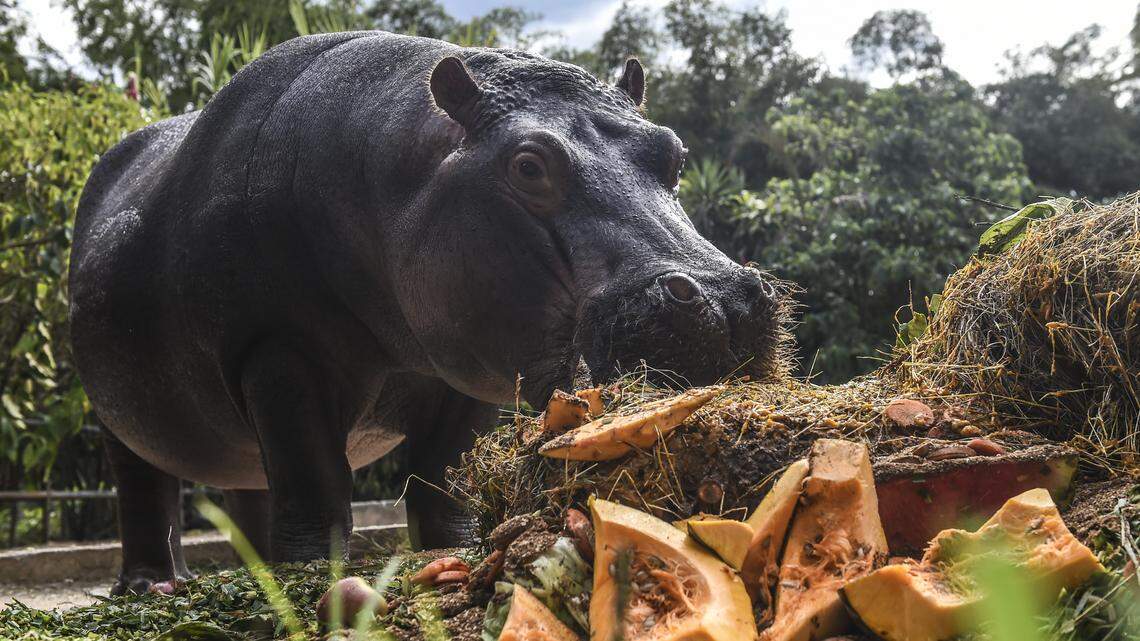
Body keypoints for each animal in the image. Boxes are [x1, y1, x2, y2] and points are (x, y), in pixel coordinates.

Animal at [68, 30, 784, 594]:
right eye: (528, 165)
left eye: (674, 152)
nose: (721, 299)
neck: (393, 168)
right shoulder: (277, 349)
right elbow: (314, 476)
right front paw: (314, 577)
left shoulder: (467, 364)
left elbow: (442, 472)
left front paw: (453, 551)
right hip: (115, 414)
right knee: (146, 486)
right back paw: (152, 586)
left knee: (248, 482)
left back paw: (257, 574)